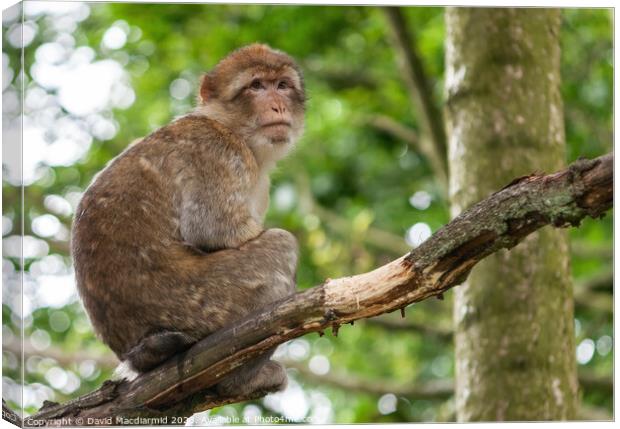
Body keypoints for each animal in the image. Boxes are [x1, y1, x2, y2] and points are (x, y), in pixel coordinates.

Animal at [70, 45, 306, 396]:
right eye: (257, 86)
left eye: (282, 85)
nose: (278, 105)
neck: (233, 128)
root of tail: (133, 354)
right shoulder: (218, 150)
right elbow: (214, 231)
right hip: (200, 308)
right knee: (282, 244)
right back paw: (241, 379)